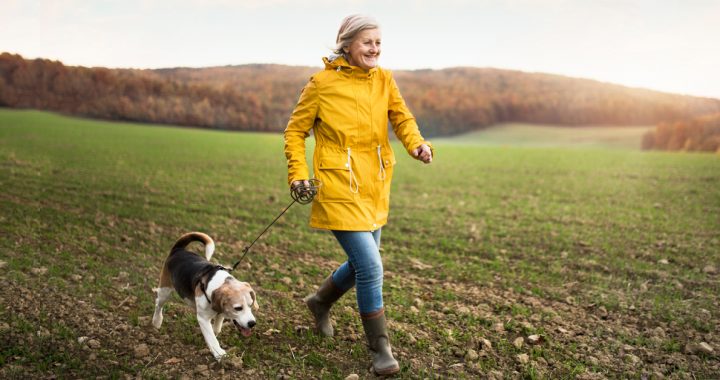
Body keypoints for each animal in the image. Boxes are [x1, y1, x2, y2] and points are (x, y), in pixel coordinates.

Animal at [152, 232, 258, 360]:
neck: (219, 283)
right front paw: (219, 353)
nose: (252, 323)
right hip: (165, 290)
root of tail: (178, 249)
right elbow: (211, 337)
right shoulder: (203, 318)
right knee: (158, 304)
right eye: (238, 308)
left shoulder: (220, 312)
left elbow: (216, 329)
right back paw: (157, 321)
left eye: (251, 305)